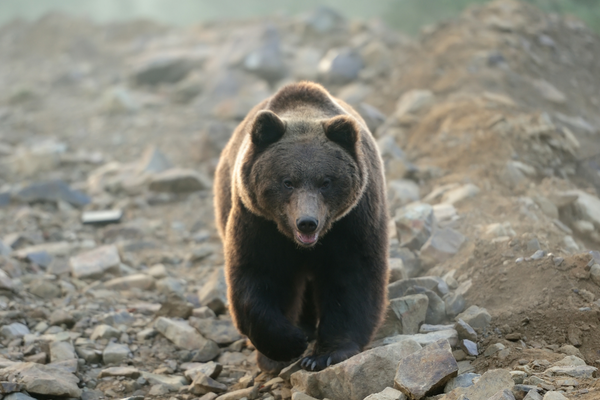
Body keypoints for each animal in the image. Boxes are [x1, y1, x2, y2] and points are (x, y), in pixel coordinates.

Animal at [213, 81, 386, 372]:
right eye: (287, 182)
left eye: (326, 181)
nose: (306, 222)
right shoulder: (258, 223)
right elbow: (257, 276)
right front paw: (286, 343)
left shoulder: (352, 222)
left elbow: (352, 278)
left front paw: (324, 353)